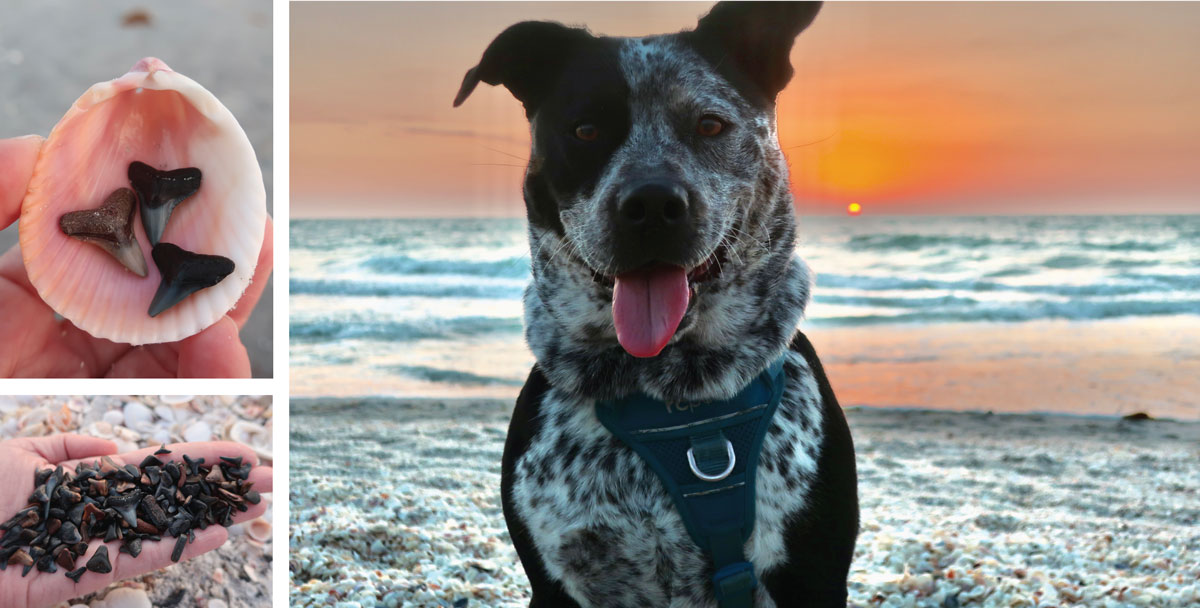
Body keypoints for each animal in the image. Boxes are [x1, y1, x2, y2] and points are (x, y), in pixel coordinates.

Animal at [453, 2, 859, 606]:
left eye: (710, 124)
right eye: (586, 130)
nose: (650, 204)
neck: (664, 395)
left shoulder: (814, 578)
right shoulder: (552, 585)